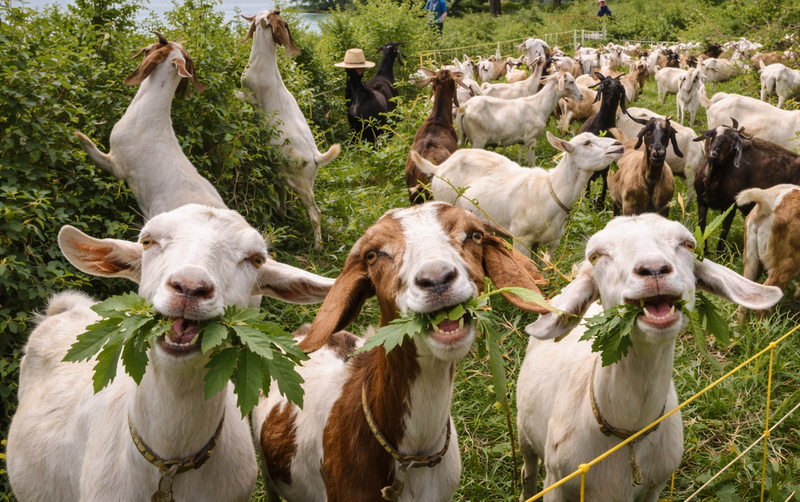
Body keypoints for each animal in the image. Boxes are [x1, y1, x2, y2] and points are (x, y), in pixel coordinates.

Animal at [239, 10, 341, 251]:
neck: (264, 63)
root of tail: (315, 156)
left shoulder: (249, 94)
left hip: (301, 185)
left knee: (315, 213)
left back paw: (317, 246)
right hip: (298, 178)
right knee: (283, 193)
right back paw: (283, 217)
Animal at [410, 132, 623, 262]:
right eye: (587, 143)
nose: (618, 145)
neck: (549, 192)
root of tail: (439, 167)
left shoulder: (552, 242)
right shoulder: (522, 239)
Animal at [518, 214, 781, 502]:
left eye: (688, 244)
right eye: (596, 256)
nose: (654, 270)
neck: (629, 434)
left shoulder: (655, 485)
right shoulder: (557, 483)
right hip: (524, 430)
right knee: (528, 469)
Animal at [579, 73, 628, 208]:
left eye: (618, 88)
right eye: (605, 87)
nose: (611, 98)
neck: (603, 125)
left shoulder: (608, 166)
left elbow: (605, 185)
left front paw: (600, 203)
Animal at [693, 121, 800, 253]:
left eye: (732, 141)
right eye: (714, 135)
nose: (714, 155)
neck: (712, 179)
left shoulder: (730, 206)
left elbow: (723, 234)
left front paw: (718, 255)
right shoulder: (701, 202)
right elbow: (701, 229)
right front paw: (703, 251)